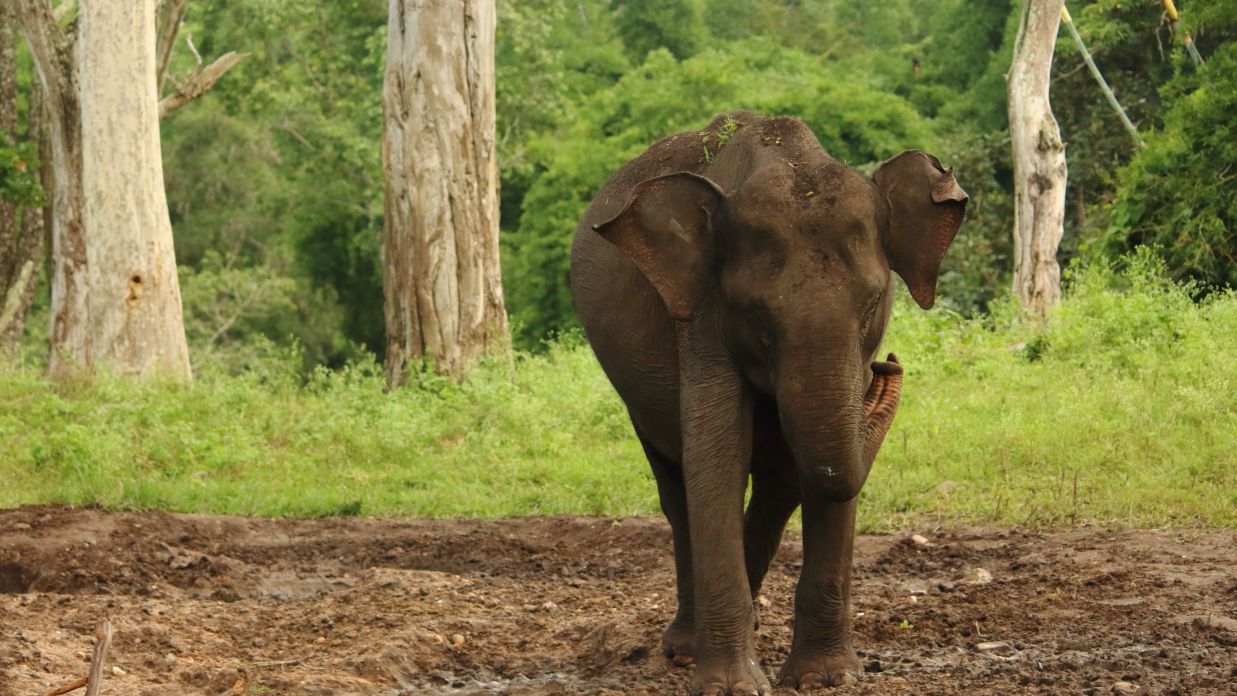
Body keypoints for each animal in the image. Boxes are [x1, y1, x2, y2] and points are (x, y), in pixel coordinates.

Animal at [569, 111, 964, 692]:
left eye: (873, 304)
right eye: (756, 315)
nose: (887, 367)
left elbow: (823, 478)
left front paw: (826, 679)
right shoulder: (702, 315)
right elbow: (717, 456)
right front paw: (732, 686)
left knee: (781, 484)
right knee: (676, 487)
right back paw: (685, 649)